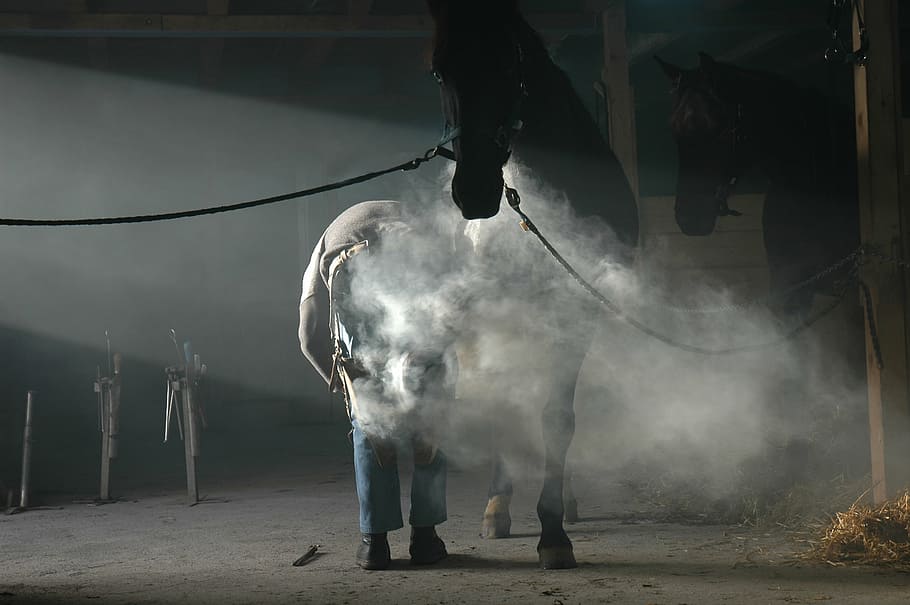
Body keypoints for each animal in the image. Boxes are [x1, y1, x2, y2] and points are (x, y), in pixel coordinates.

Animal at [428, 0, 640, 568]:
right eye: (440, 72)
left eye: (507, 64)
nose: (474, 192)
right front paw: (507, 510)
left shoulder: (577, 313)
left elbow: (559, 417)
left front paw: (554, 530)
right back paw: (501, 505)